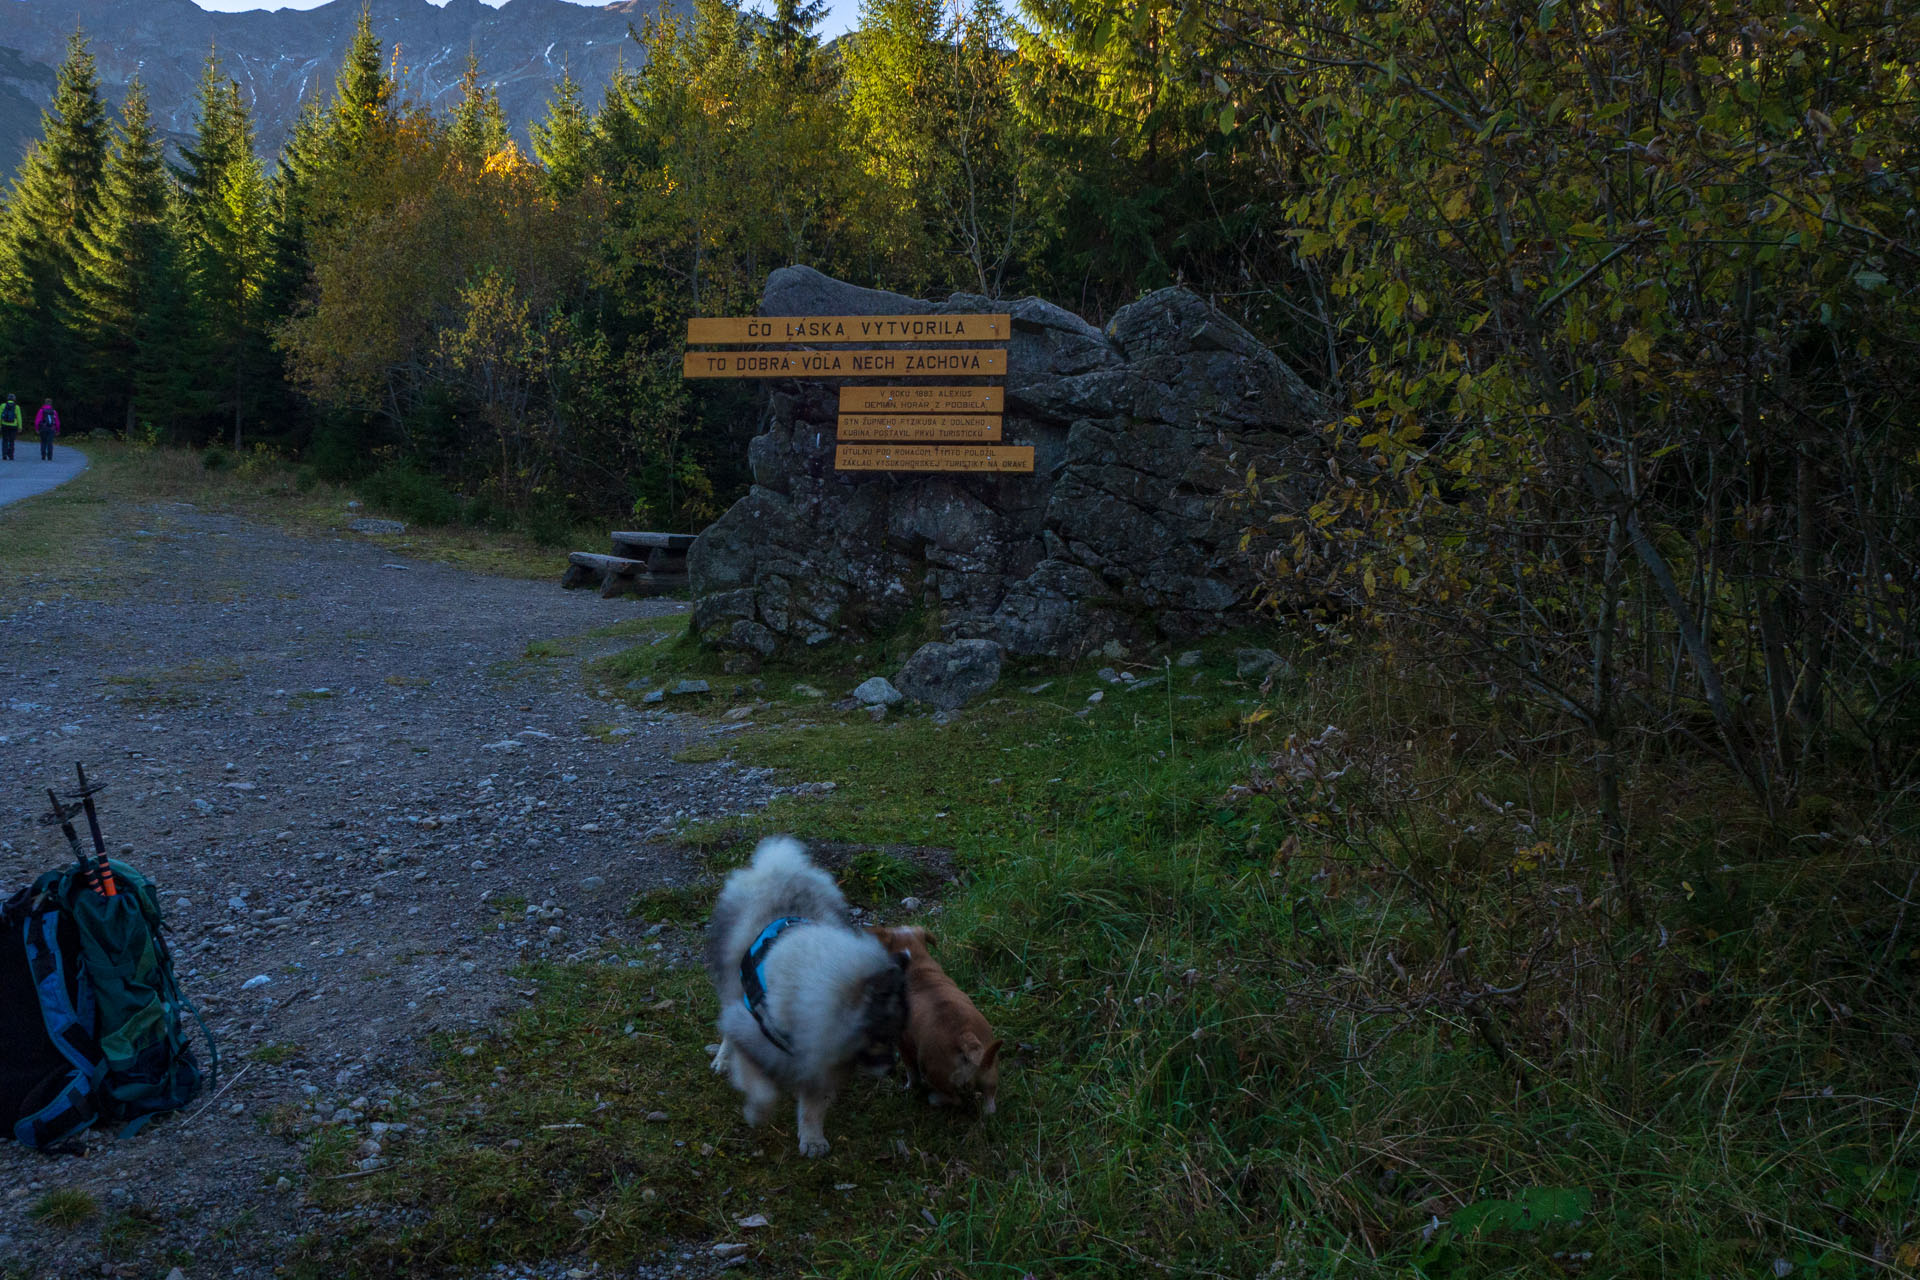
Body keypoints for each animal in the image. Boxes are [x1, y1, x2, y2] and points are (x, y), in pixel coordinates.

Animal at [706, 836, 906, 1159]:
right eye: (879, 1037)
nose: (893, 1068)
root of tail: (778, 866)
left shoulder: (822, 1060)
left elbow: (813, 1104)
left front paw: (812, 1139)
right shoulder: (754, 1033)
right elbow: (760, 1085)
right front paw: (757, 1112)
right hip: (731, 982)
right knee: (727, 1021)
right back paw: (723, 1059)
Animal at [864, 924, 998, 1113]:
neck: (916, 963)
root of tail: (965, 1036)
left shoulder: (904, 1045)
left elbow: (911, 1073)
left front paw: (908, 1087)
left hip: (934, 1070)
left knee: (954, 1099)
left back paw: (935, 1099)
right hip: (989, 1069)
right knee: (990, 1101)